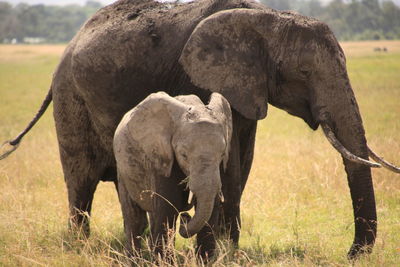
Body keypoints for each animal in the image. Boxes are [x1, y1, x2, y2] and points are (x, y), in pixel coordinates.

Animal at [112, 92, 231, 258]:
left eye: (222, 155)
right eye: (183, 155)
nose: (185, 217)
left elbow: (211, 207)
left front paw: (205, 260)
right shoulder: (161, 157)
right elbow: (167, 207)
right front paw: (163, 261)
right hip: (123, 170)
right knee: (133, 217)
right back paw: (134, 259)